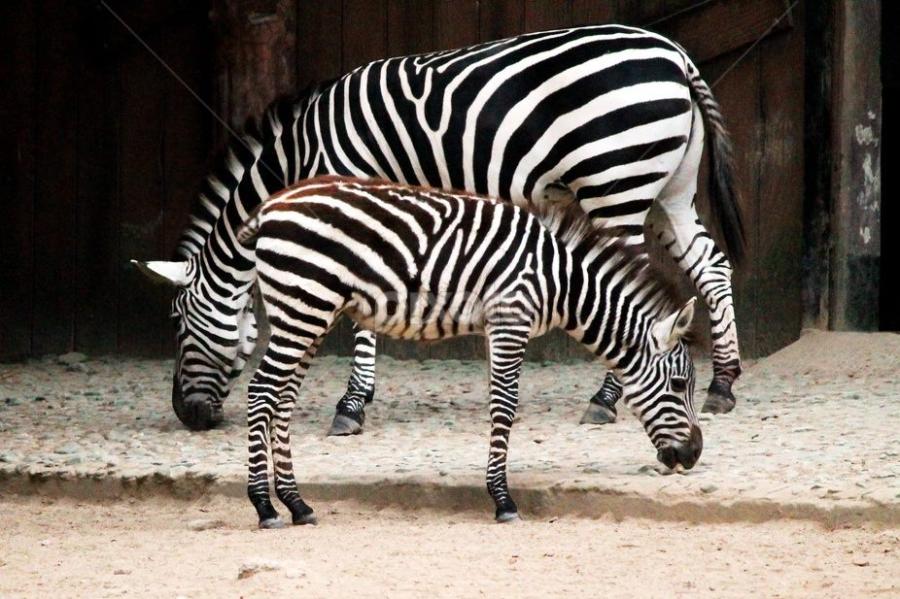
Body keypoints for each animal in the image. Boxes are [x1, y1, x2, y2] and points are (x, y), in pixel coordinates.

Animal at [133, 24, 743, 433]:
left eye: (177, 322)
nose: (186, 416)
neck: (302, 154)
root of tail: (677, 55)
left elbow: (360, 314)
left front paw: (350, 407)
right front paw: (360, 398)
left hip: (617, 182)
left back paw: (606, 398)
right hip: (670, 190)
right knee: (711, 266)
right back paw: (723, 384)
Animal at [235, 177, 701, 527]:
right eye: (679, 385)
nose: (695, 454)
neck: (561, 282)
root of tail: (269, 207)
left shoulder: (501, 325)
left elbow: (500, 405)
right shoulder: (510, 319)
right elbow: (505, 405)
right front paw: (503, 500)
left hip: (309, 314)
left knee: (282, 401)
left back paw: (297, 504)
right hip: (303, 307)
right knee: (261, 392)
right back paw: (264, 506)